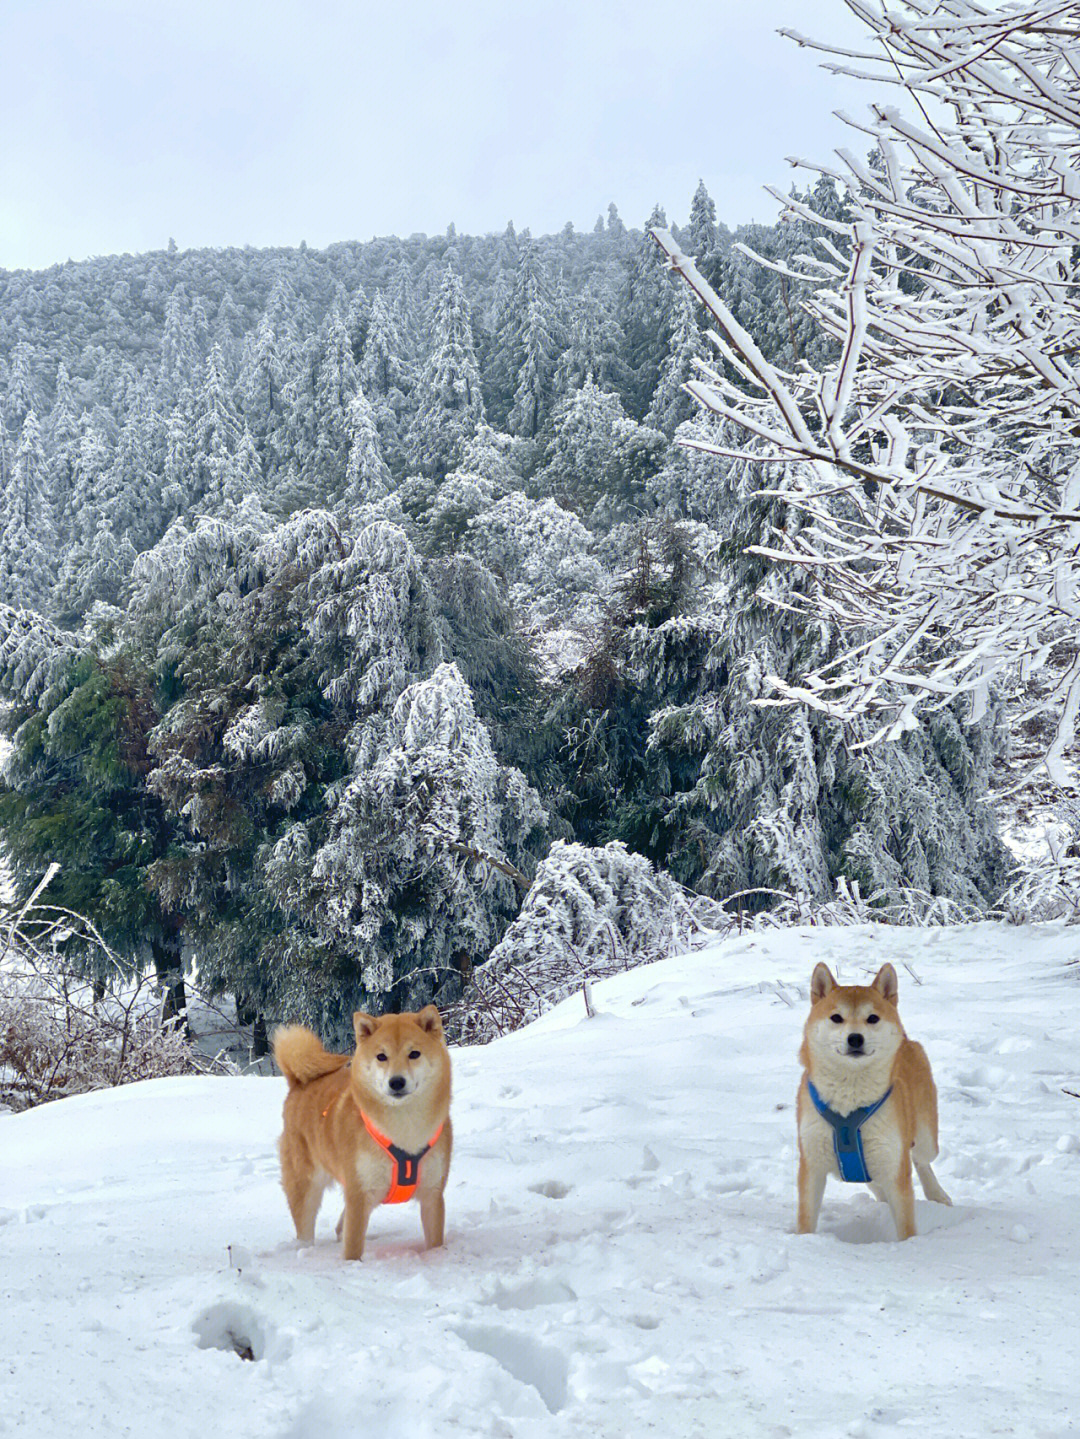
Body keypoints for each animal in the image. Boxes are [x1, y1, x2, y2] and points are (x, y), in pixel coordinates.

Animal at [274, 1001, 457, 1260]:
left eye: (414, 1054)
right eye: (381, 1056)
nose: (396, 1082)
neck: (404, 1128)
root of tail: (299, 1083)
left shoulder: (432, 1194)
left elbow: (434, 1241)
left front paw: (438, 1257)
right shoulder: (358, 1195)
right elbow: (352, 1248)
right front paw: (352, 1266)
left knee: (340, 1227)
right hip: (306, 1185)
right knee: (307, 1229)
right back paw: (305, 1251)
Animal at [793, 961, 954, 1243]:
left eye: (872, 1018)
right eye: (836, 1018)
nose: (855, 1038)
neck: (849, 1101)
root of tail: (906, 1039)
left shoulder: (894, 1167)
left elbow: (905, 1225)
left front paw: (911, 1247)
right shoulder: (811, 1164)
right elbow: (806, 1220)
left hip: (925, 1139)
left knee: (921, 1161)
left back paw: (937, 1194)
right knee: (875, 1181)